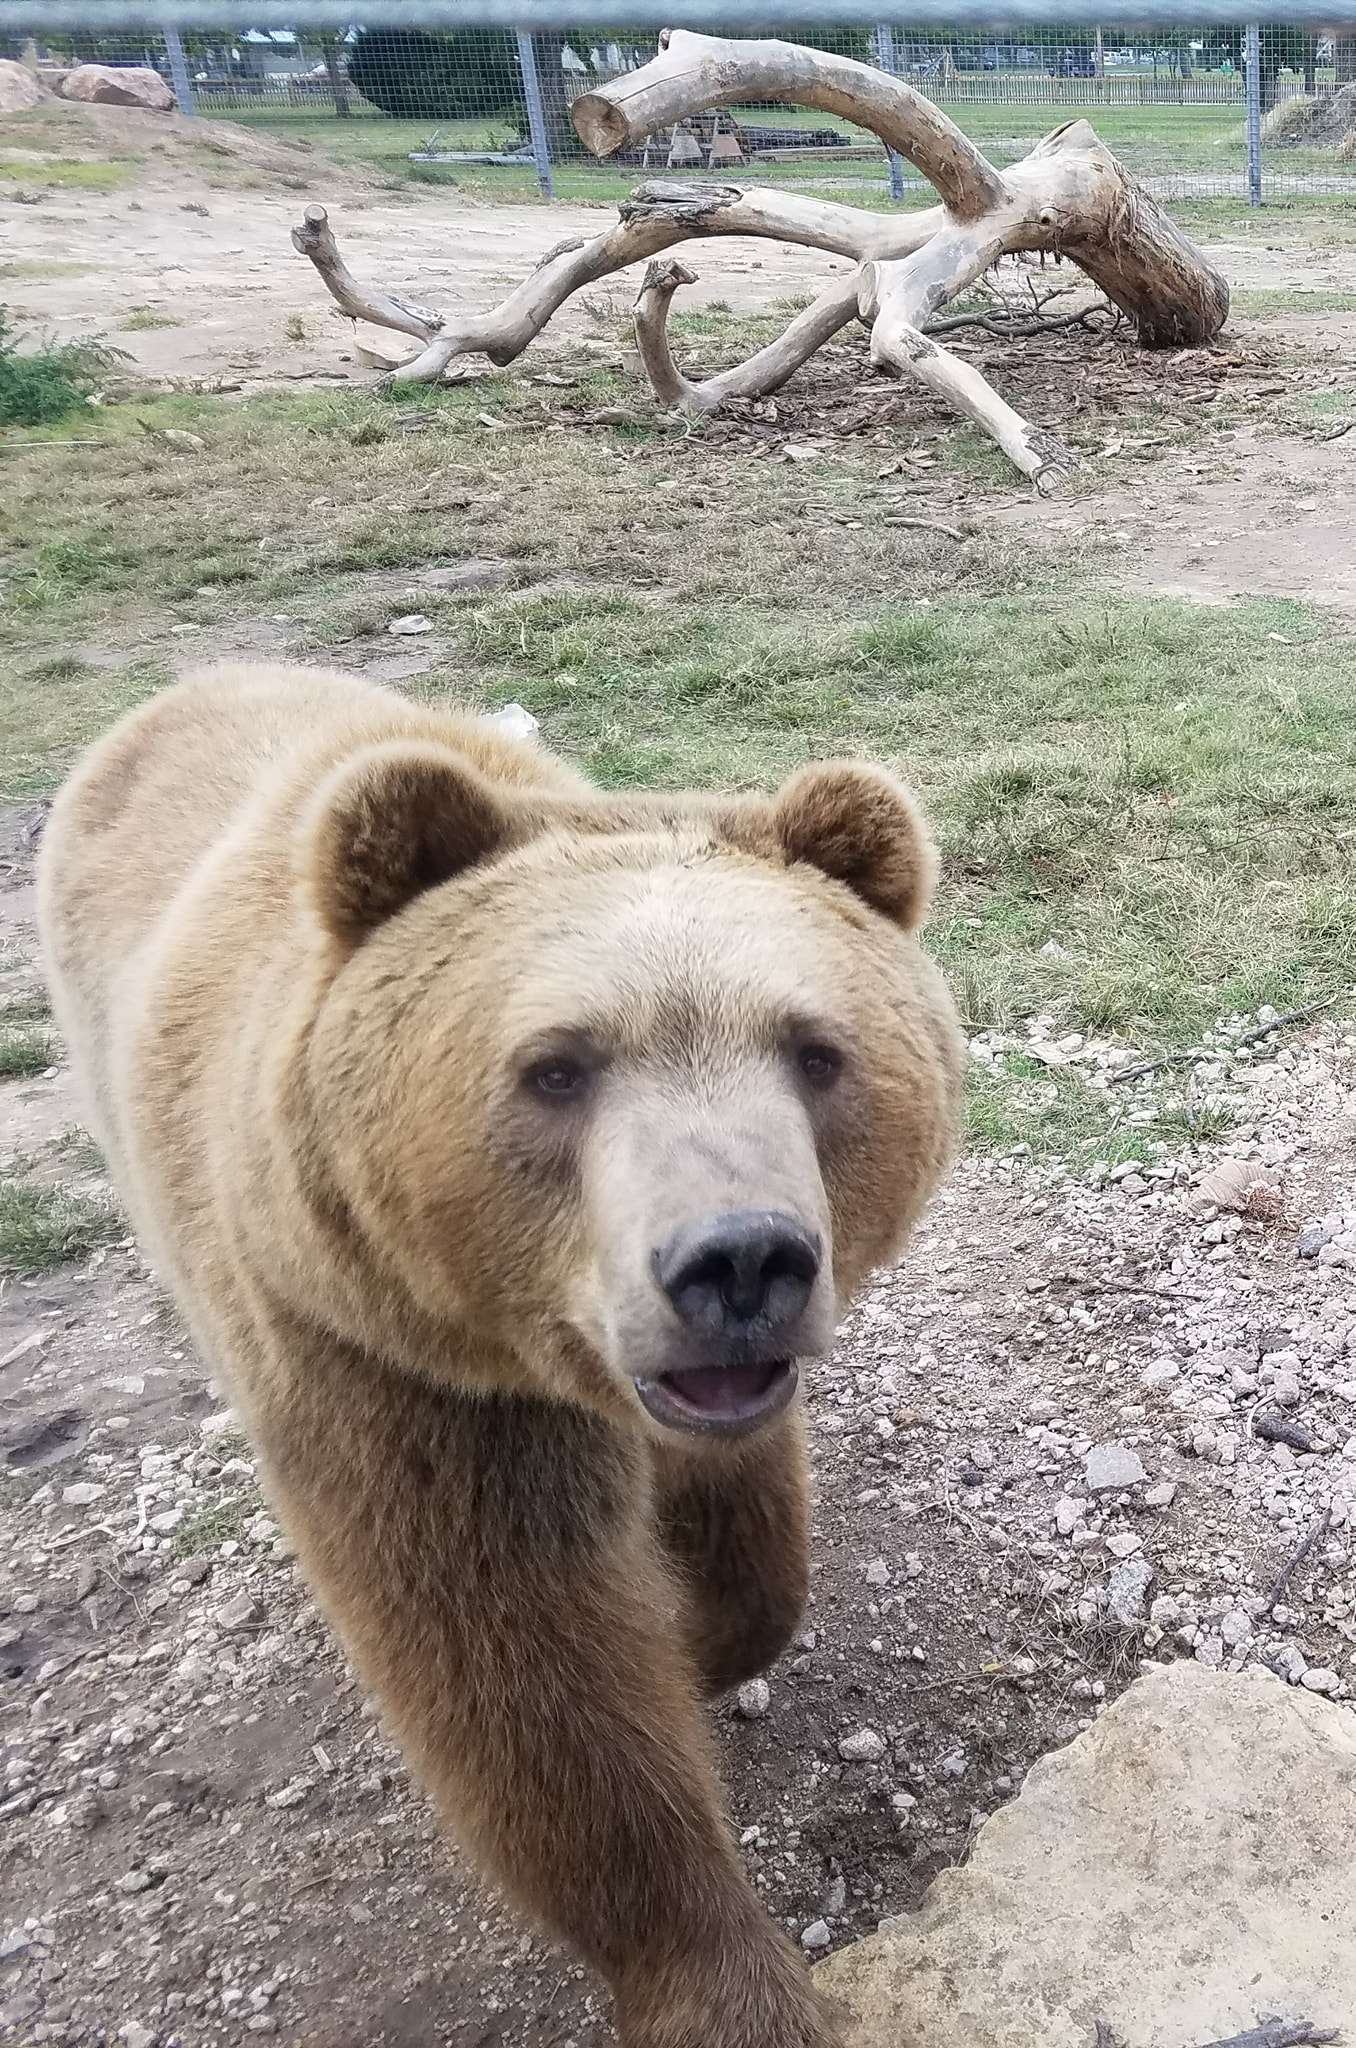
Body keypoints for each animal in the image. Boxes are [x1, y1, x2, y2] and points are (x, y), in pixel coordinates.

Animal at [38, 661, 963, 2048]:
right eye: (556, 1067)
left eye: (817, 1049)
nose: (741, 1261)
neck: (549, 1361)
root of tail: (182, 688)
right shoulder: (390, 1368)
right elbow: (531, 1679)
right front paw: (725, 1981)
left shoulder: (697, 1400)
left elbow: (744, 1540)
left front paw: (706, 1636)